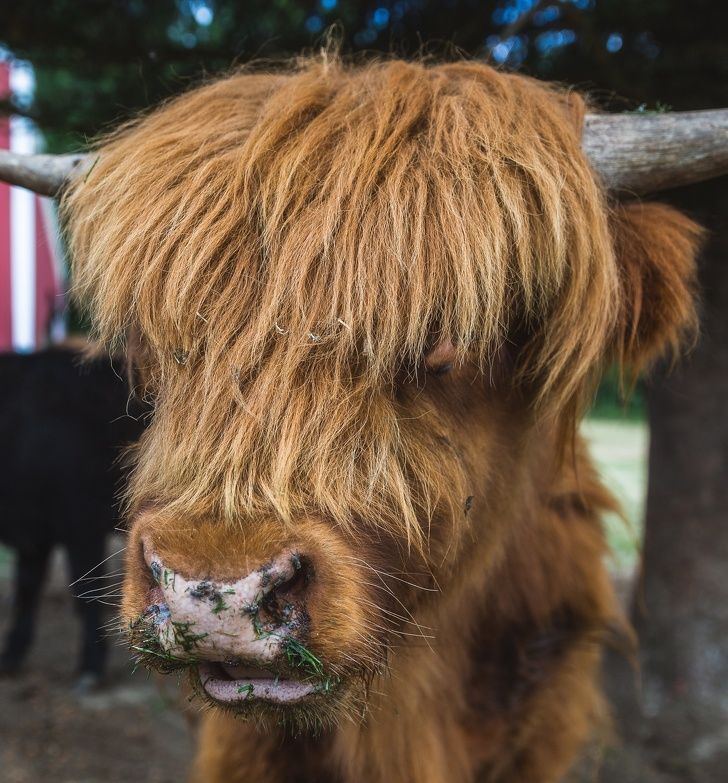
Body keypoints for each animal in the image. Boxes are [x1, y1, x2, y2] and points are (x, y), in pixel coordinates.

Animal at [0, 344, 144, 688]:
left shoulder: (82, 525)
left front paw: (91, 666)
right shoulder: (35, 531)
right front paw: (12, 655)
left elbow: (86, 591)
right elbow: (27, 589)